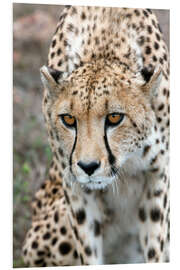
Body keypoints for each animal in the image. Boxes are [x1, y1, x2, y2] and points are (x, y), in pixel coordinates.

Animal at [22, 5, 169, 266]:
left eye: (114, 117)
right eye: (69, 120)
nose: (88, 166)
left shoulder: (157, 177)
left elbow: (155, 250)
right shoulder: (75, 187)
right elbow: (89, 251)